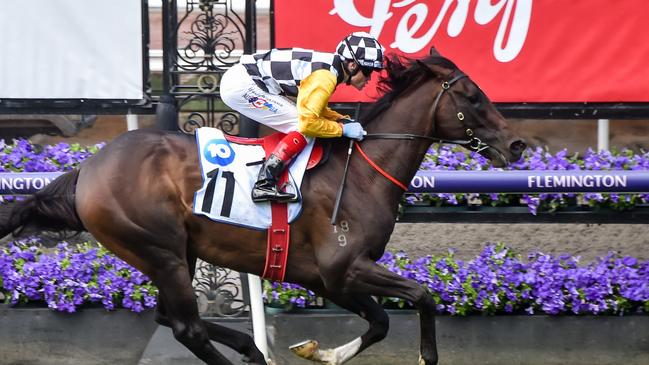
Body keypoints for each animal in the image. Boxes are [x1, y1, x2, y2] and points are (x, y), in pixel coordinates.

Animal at [0, 49, 524, 364]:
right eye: (473, 97)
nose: (517, 144)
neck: (361, 171)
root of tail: (87, 169)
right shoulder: (341, 269)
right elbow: (420, 298)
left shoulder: (325, 278)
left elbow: (378, 321)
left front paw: (319, 352)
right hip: (160, 250)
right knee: (186, 327)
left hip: (173, 252)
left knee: (168, 317)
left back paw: (252, 349)